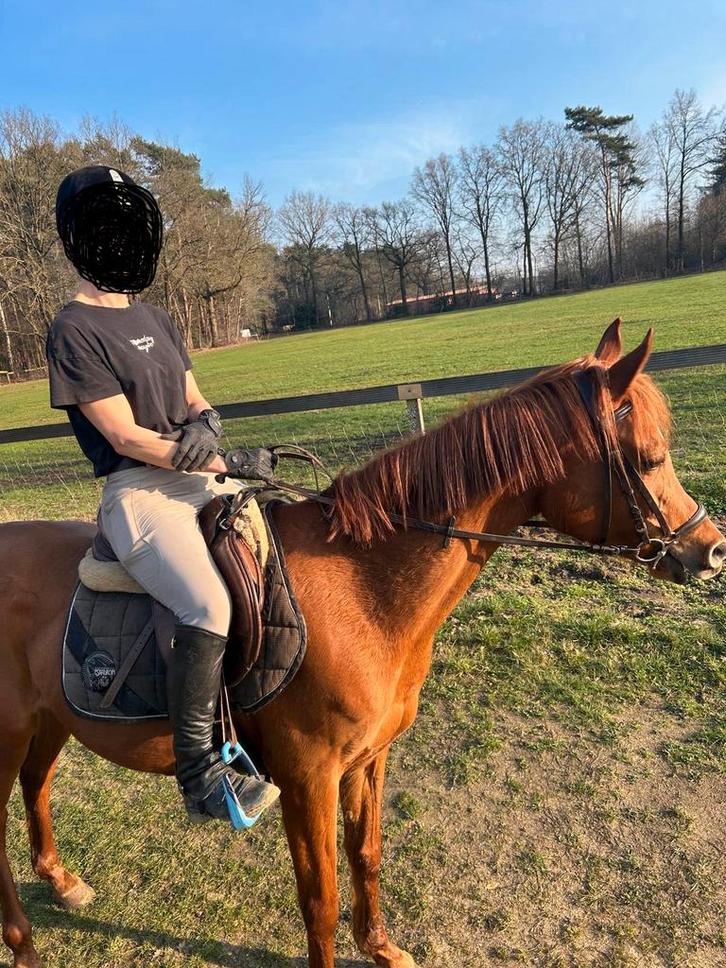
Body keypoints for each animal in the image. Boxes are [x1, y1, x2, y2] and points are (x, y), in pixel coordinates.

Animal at [0, 321, 723, 968]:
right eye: (650, 457)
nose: (711, 549)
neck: (361, 586)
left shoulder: (368, 759)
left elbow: (367, 856)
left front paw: (381, 947)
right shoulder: (307, 777)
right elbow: (318, 899)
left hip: (49, 720)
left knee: (37, 785)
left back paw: (61, 883)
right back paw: (24, 944)